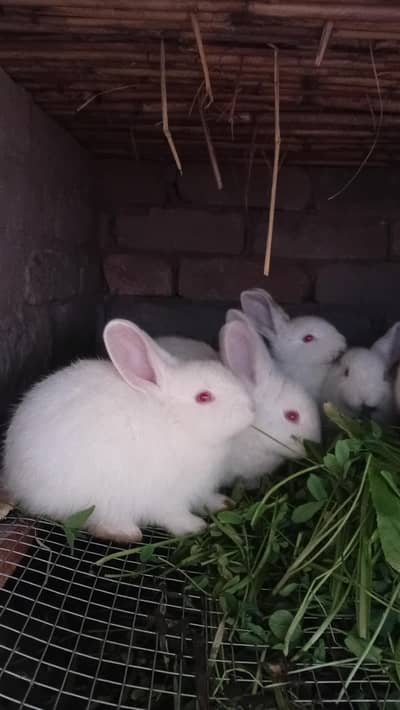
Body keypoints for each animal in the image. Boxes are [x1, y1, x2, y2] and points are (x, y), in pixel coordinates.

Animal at [3, 319, 255, 543]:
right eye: (204, 397)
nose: (251, 409)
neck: (174, 420)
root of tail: (12, 473)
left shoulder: (200, 488)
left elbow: (206, 499)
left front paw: (223, 503)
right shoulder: (166, 497)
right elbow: (173, 516)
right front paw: (194, 526)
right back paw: (125, 532)